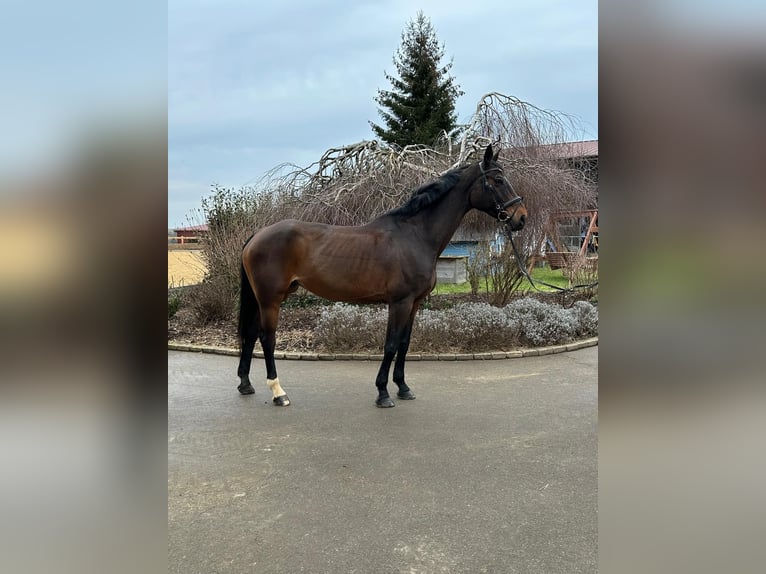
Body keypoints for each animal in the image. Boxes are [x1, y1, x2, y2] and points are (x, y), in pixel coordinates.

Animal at [237, 144, 532, 410]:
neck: (415, 235)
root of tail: (257, 234)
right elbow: (390, 344)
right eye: (498, 180)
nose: (521, 218)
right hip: (271, 299)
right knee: (267, 338)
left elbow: (404, 343)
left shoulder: (414, 303)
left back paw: (245, 384)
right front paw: (383, 393)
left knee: (250, 334)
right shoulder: (399, 302)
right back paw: (278, 392)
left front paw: (403, 388)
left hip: (264, 298)